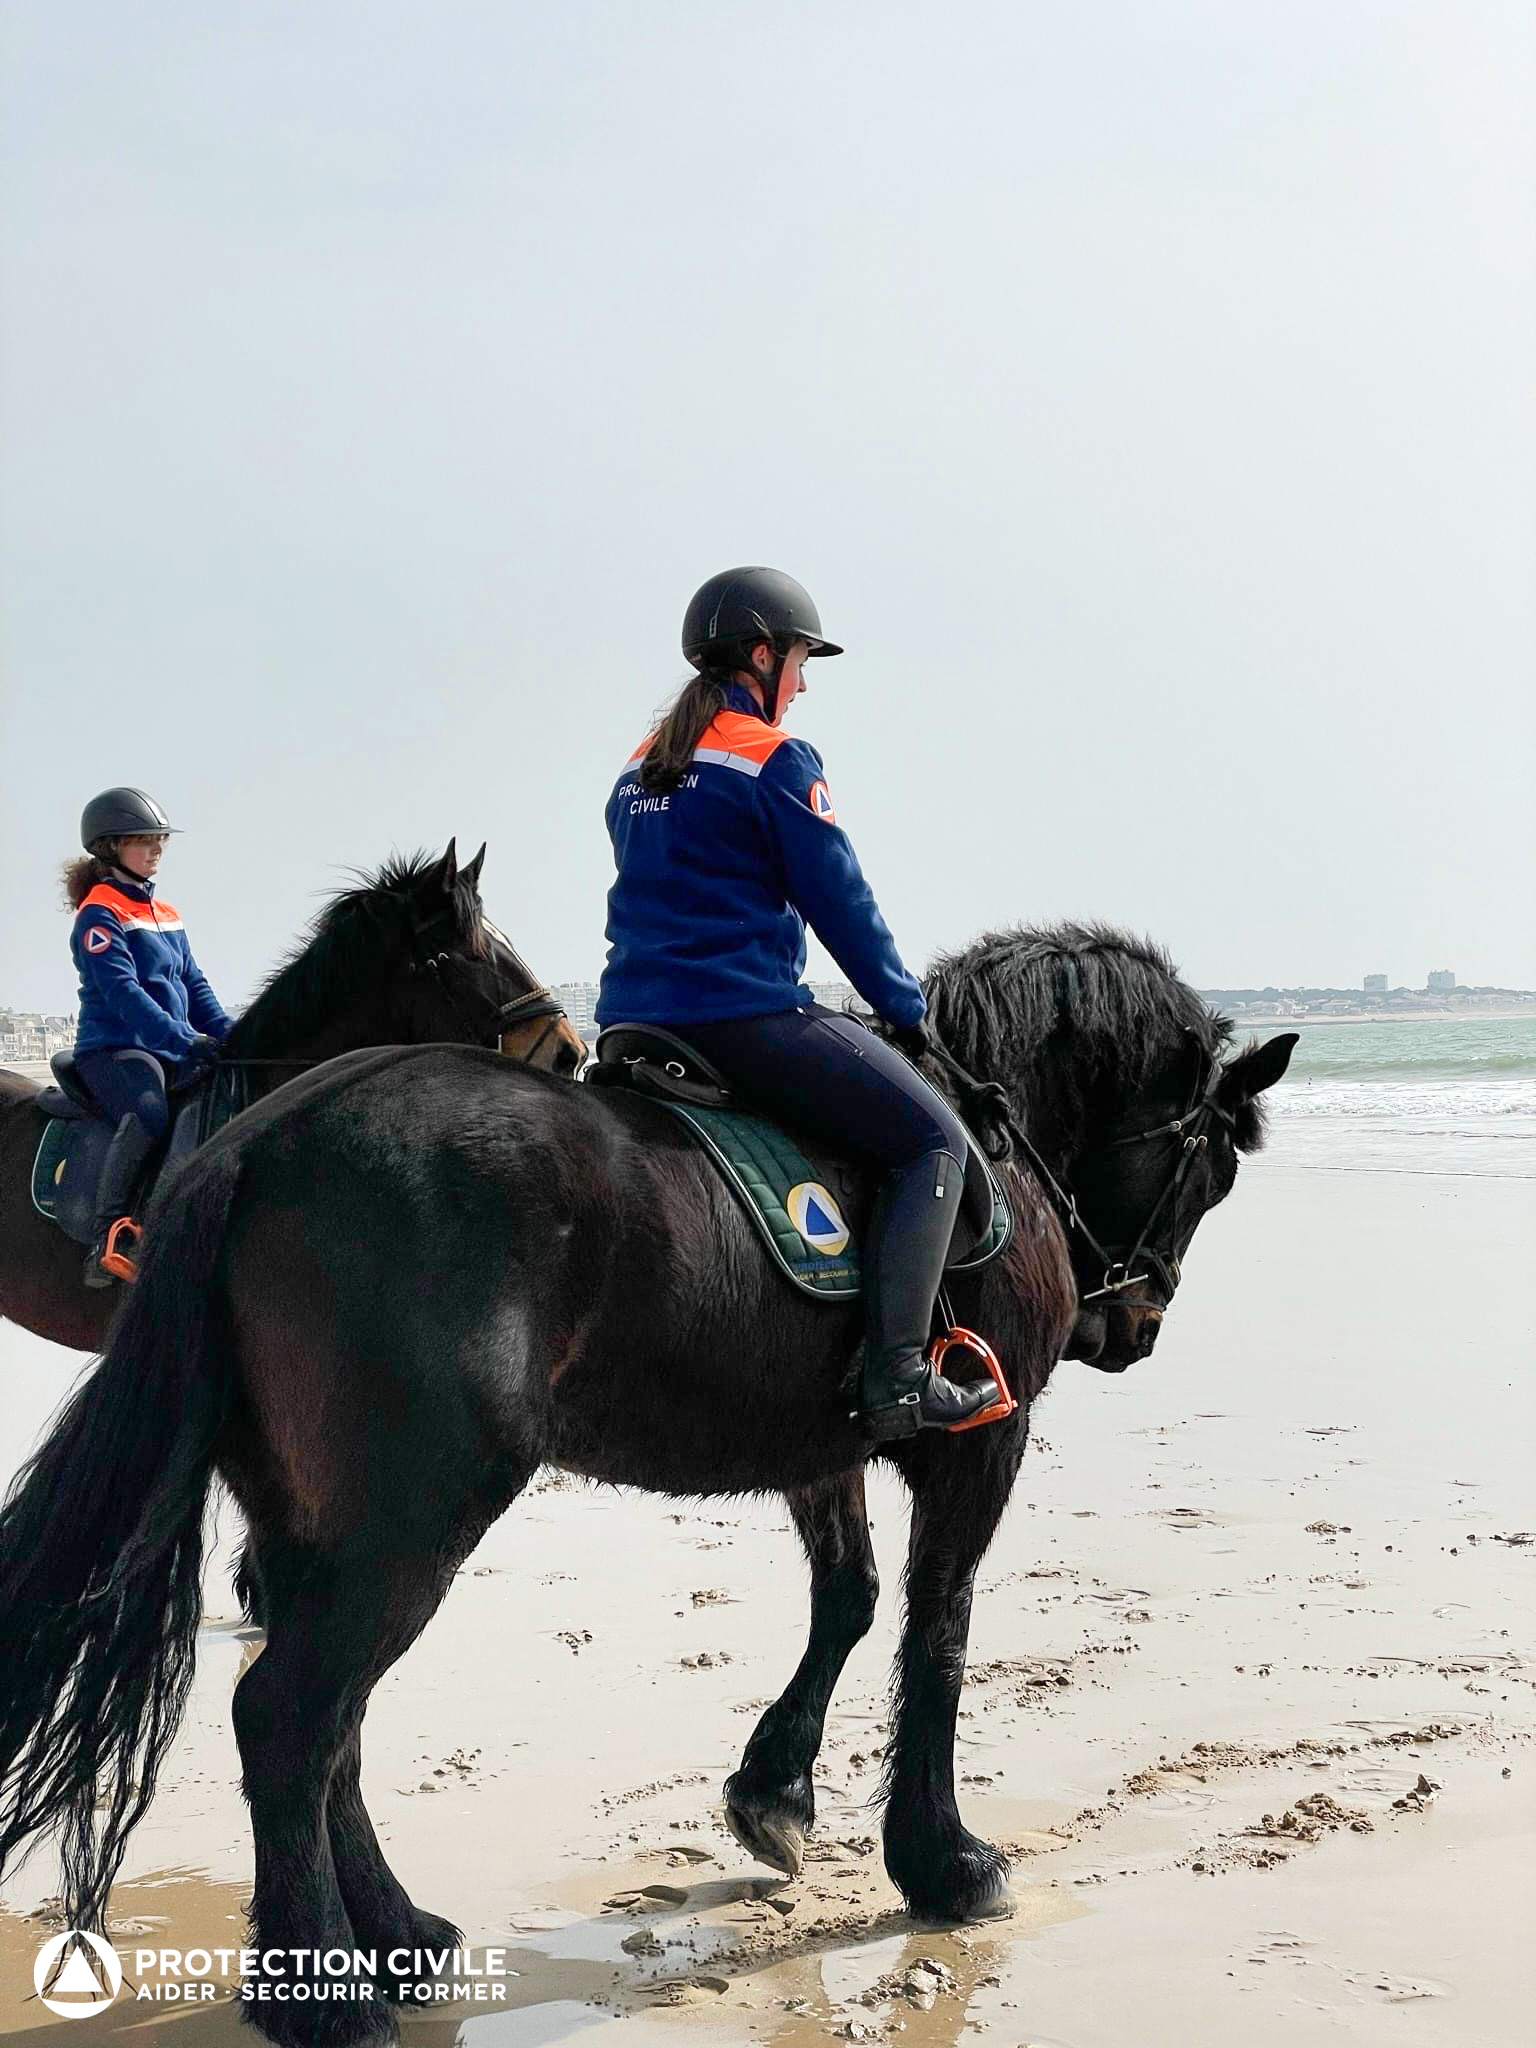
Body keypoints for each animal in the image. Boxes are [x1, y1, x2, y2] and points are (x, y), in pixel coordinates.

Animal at [0, 929, 1302, 2048]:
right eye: (1213, 1166)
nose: (1133, 1322)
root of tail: (261, 1139)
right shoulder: (984, 1441)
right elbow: (938, 1627)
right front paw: (945, 1860)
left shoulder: (822, 1448)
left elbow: (850, 1599)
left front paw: (772, 1793)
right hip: (409, 1521)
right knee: (288, 1716)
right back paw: (323, 1991)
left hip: (318, 1522)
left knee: (332, 1726)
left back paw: (399, 1935)